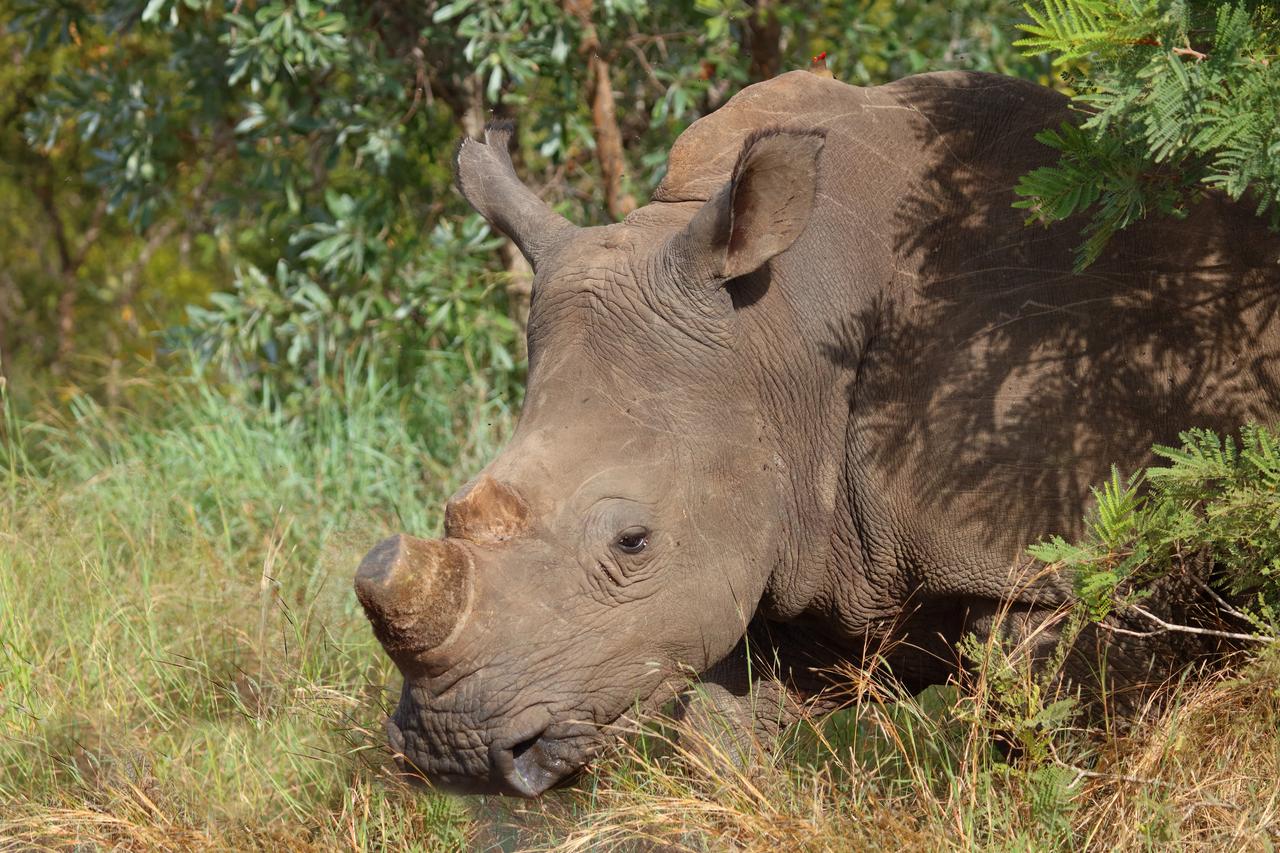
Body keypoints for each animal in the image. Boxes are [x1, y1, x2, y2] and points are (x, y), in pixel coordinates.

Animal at [354, 70, 1280, 796]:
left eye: (633, 541)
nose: (452, 748)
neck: (784, 331)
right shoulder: (761, 544)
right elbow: (721, 740)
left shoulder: (1043, 562)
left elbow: (1055, 728)